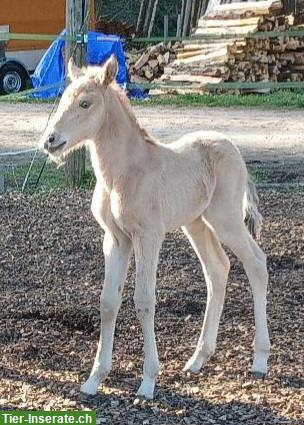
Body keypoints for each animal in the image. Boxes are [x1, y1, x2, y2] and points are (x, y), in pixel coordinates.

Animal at [39, 55, 270, 398]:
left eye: (85, 103)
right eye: (64, 98)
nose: (50, 141)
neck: (123, 174)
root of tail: (233, 149)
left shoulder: (147, 236)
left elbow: (144, 301)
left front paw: (148, 381)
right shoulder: (115, 239)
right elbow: (108, 302)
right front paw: (94, 379)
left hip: (226, 218)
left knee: (256, 263)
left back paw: (260, 360)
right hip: (196, 223)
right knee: (218, 269)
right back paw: (198, 359)